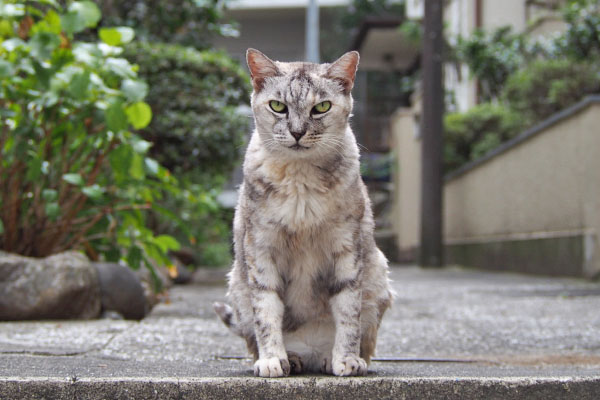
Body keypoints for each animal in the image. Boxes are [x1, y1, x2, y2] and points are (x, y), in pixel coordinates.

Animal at [212, 48, 394, 376]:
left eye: (321, 107)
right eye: (278, 106)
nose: (297, 132)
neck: (300, 184)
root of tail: (310, 352)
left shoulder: (347, 248)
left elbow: (348, 311)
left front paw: (346, 359)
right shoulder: (261, 248)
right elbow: (266, 311)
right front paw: (272, 359)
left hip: (378, 278)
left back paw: (329, 359)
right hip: (237, 285)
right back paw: (292, 359)